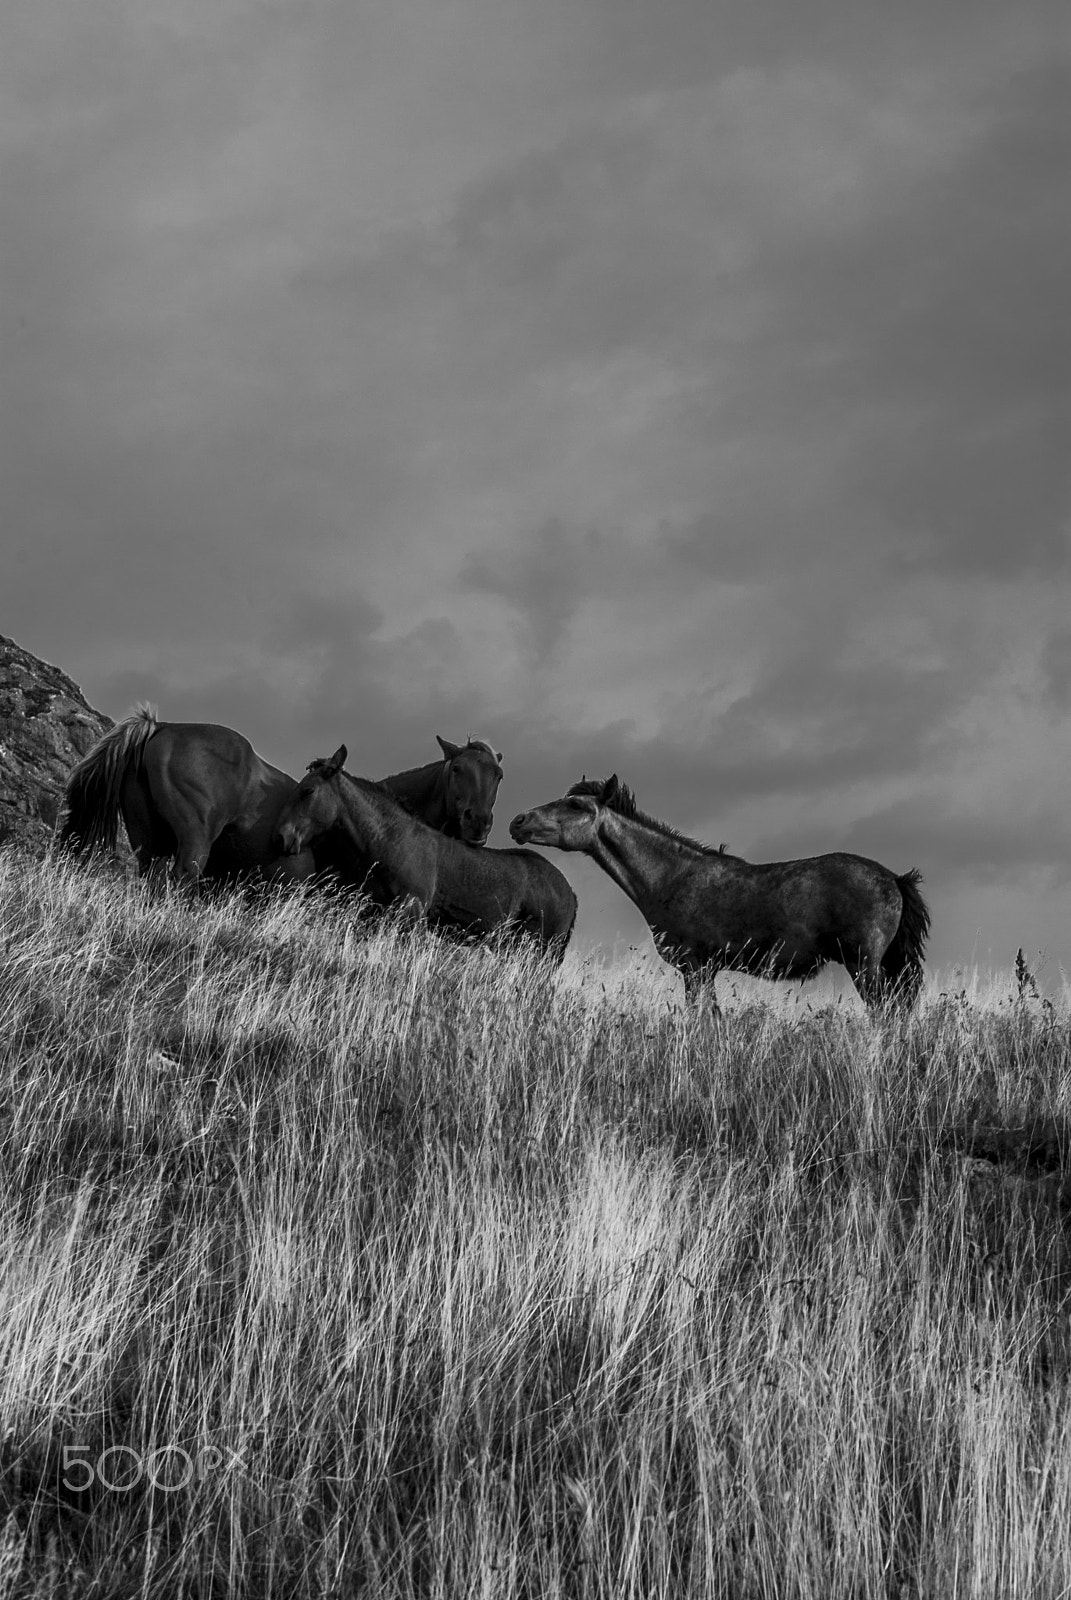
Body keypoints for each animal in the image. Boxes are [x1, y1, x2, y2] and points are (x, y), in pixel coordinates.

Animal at [58, 713, 505, 889]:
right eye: (456, 769)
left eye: (498, 776)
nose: (478, 822)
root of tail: (160, 727)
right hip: (192, 847)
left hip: (148, 847)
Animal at [509, 774, 928, 1011]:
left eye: (575, 804)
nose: (518, 821)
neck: (673, 877)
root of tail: (894, 879)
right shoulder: (704, 971)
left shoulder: (695, 967)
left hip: (864, 965)